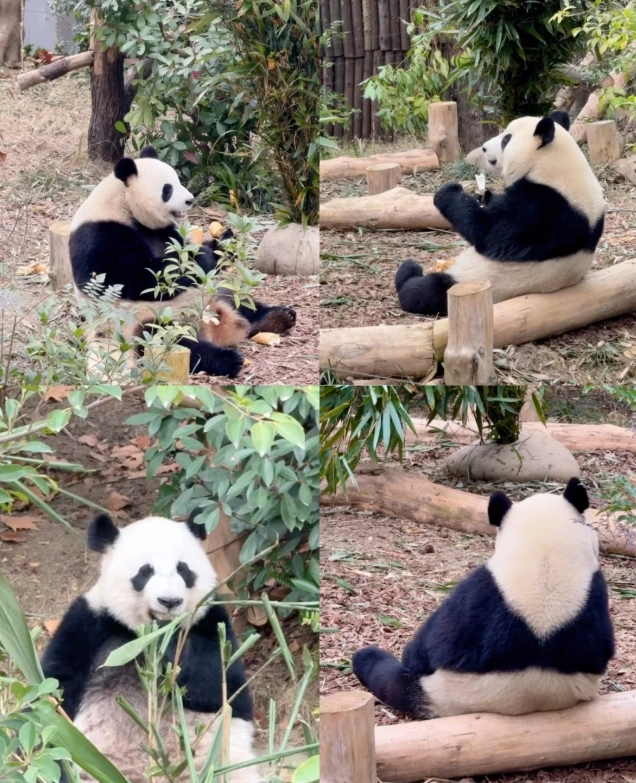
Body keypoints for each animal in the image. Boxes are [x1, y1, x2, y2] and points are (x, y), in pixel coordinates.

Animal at [42, 512, 261, 783]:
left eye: (183, 569)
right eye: (145, 572)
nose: (169, 601)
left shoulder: (211, 621)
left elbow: (219, 685)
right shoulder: (90, 624)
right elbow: (56, 689)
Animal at [70, 146, 296, 378]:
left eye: (177, 181)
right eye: (167, 189)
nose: (190, 200)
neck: (122, 203)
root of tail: (216, 330)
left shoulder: (163, 231)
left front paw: (224, 242)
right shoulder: (99, 234)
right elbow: (135, 278)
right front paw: (203, 258)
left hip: (213, 295)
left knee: (239, 301)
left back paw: (278, 317)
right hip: (144, 321)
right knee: (169, 339)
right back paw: (227, 360)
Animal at [352, 478, 615, 719]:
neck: (545, 559)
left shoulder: (476, 595)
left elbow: (432, 644)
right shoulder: (595, 596)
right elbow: (603, 651)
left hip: (436, 689)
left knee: (388, 677)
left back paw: (366, 656)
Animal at [395, 110, 606, 317]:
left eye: (506, 139)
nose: (484, 148)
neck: (552, 164)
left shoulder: (546, 210)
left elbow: (489, 233)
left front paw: (450, 191)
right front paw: (483, 196)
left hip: (477, 279)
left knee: (426, 291)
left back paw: (409, 271)